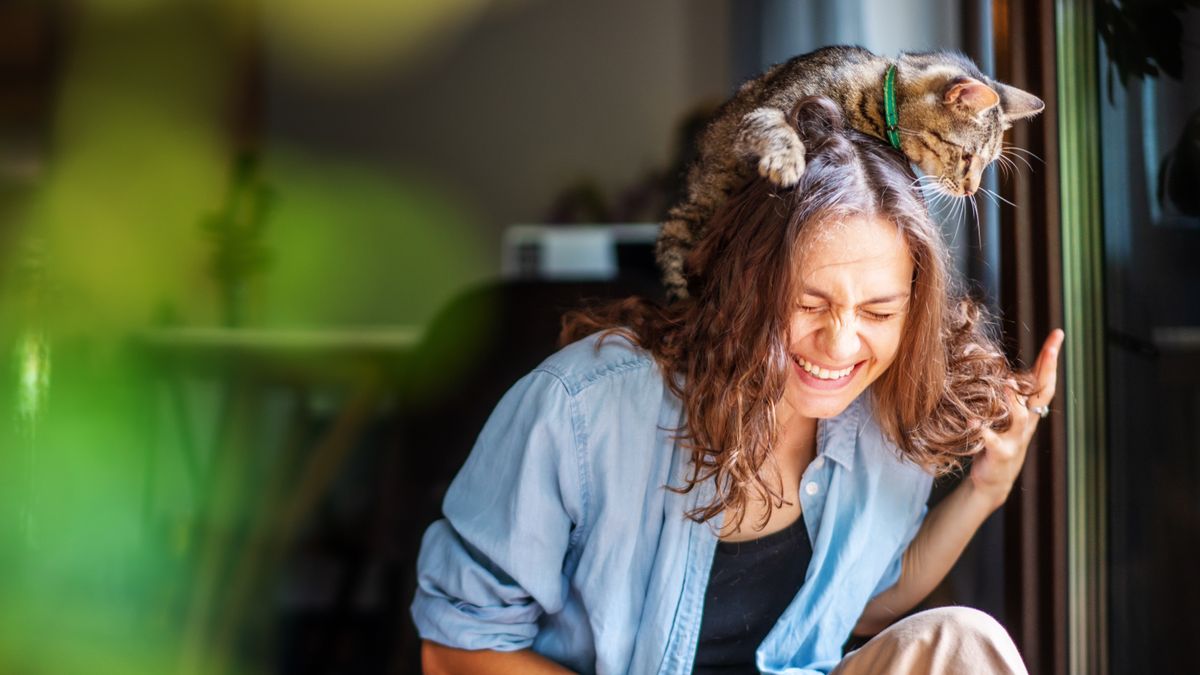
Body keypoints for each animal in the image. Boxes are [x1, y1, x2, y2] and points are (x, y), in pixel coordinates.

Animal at [662, 45, 1046, 297]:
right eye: (968, 157)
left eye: (987, 162)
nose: (971, 189)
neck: (876, 98)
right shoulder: (763, 111)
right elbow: (774, 126)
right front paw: (786, 160)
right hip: (685, 224)